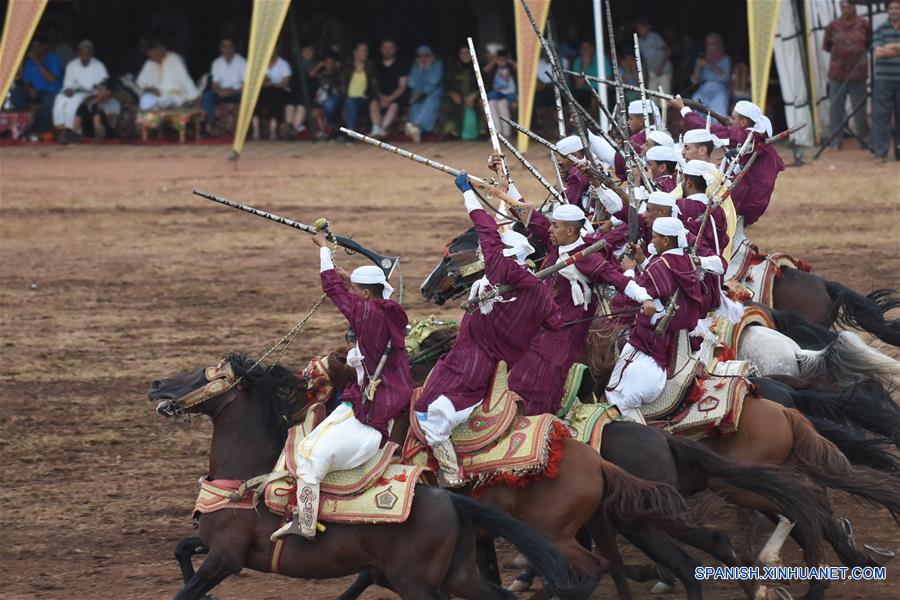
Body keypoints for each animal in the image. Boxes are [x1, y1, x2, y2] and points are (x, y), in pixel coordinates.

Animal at [148, 354, 596, 600]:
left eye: (207, 374)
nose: (156, 384)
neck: (247, 476)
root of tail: (449, 498)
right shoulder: (215, 549)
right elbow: (182, 550)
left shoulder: (226, 557)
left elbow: (184, 589)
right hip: (458, 574)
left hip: (416, 582)